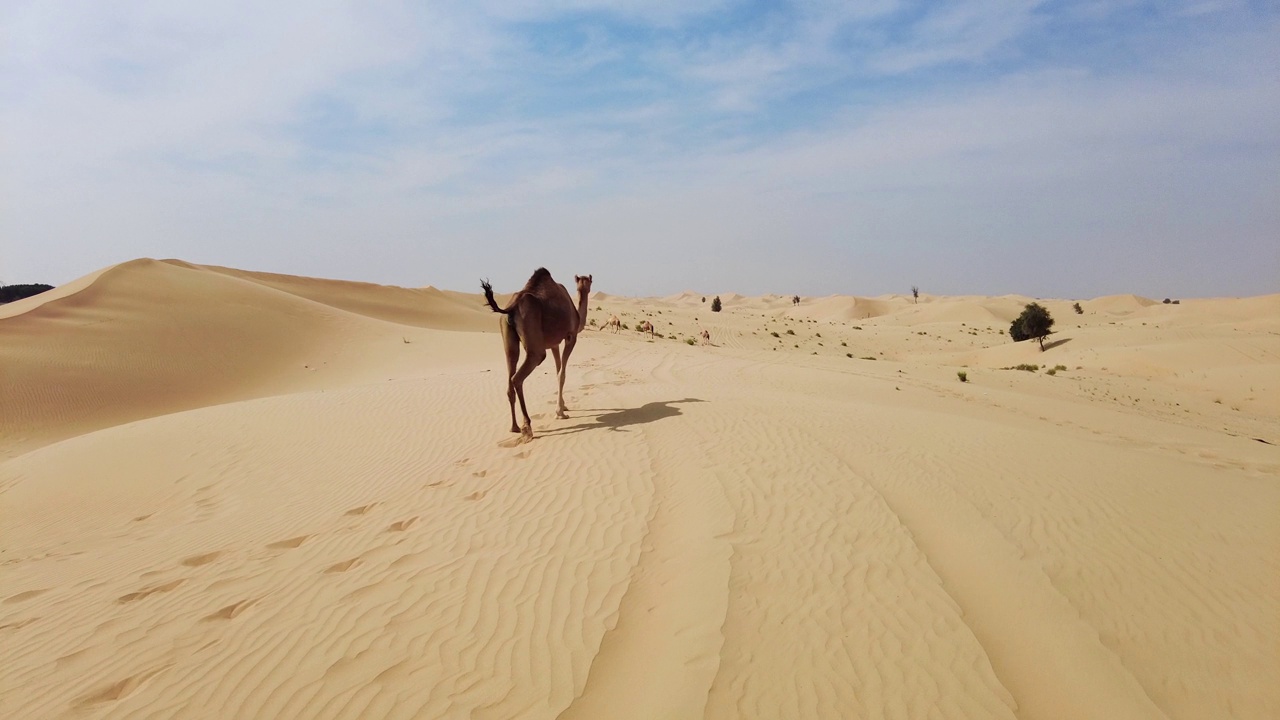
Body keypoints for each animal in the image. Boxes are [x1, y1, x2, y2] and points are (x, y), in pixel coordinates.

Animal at [481, 266, 591, 438]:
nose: (586, 286)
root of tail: (512, 307)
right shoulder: (571, 336)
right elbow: (562, 374)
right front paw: (560, 412)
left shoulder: (553, 343)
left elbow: (558, 370)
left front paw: (563, 406)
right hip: (535, 344)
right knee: (517, 378)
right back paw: (527, 426)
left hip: (508, 339)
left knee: (510, 372)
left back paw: (514, 427)